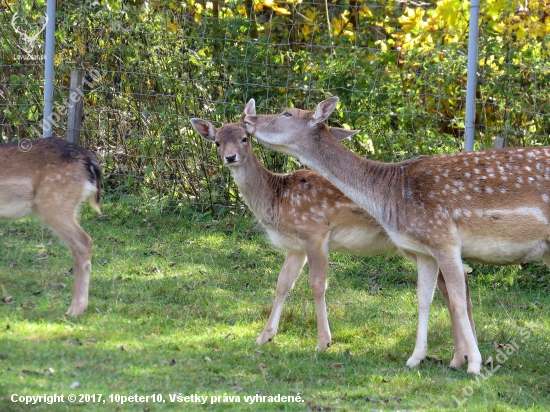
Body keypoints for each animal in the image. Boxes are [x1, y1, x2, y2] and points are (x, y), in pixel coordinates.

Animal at [192, 99, 476, 358]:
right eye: (217, 142)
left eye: (244, 139)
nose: (230, 157)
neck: (278, 199)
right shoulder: (296, 246)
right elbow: (282, 284)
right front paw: (264, 337)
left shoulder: (315, 232)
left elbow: (318, 285)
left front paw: (323, 342)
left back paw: (461, 355)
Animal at [248, 96, 550, 374]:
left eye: (287, 113)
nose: (249, 119)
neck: (390, 196)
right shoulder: (423, 250)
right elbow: (423, 299)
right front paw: (415, 358)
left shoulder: (444, 239)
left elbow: (458, 300)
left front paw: (474, 364)